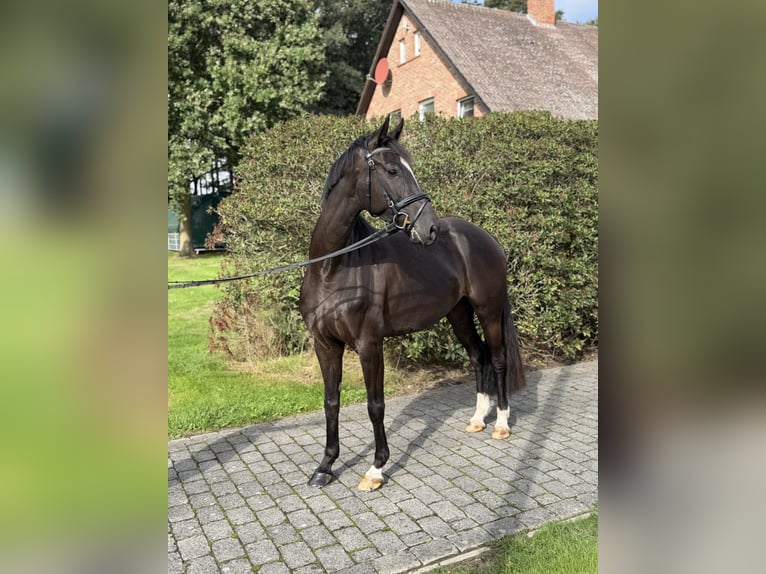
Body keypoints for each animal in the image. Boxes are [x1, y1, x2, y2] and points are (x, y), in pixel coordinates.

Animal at [298, 116, 526, 492]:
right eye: (392, 170)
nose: (429, 228)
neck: (334, 268)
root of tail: (485, 237)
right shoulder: (326, 344)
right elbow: (331, 402)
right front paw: (325, 467)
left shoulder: (369, 344)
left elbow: (375, 405)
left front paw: (376, 469)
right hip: (458, 314)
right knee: (478, 357)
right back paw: (478, 419)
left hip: (488, 310)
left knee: (497, 358)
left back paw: (501, 424)